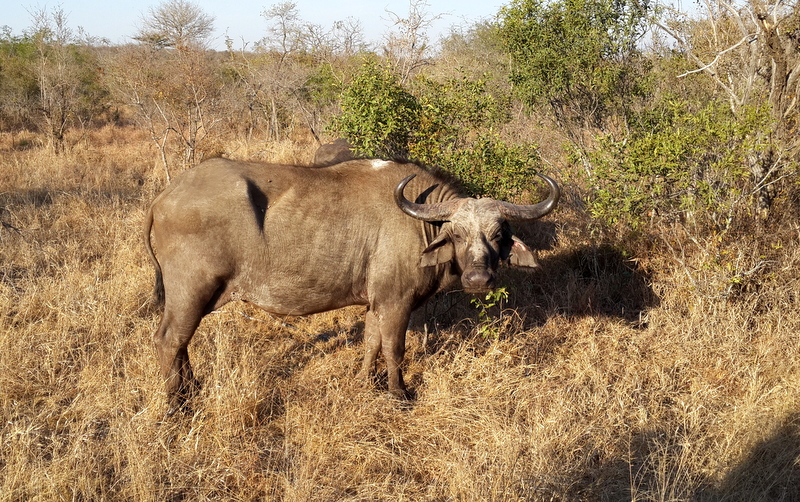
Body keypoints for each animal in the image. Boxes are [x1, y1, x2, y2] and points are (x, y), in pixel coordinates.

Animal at [143, 157, 560, 414]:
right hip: (191, 292)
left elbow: (371, 343)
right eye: (457, 234)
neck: (418, 224)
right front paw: (398, 393)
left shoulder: (375, 303)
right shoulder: (395, 302)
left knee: (180, 343)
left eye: (498, 233)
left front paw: (363, 381)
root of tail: (166, 195)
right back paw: (177, 404)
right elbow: (394, 349)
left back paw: (190, 390)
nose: (478, 279)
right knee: (169, 340)